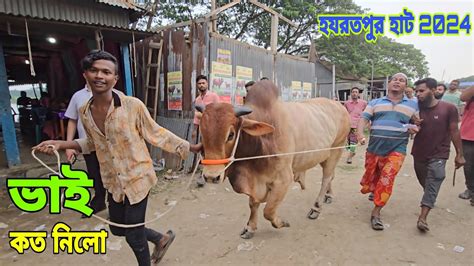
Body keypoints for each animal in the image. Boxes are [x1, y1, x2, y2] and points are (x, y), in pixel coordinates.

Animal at [196, 80, 352, 238]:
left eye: (231, 135)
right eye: (202, 133)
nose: (211, 176)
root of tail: (340, 106)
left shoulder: (283, 180)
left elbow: (268, 210)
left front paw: (282, 223)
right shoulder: (255, 181)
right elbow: (253, 204)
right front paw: (250, 228)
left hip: (337, 149)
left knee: (326, 178)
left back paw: (316, 208)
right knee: (331, 176)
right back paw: (328, 195)